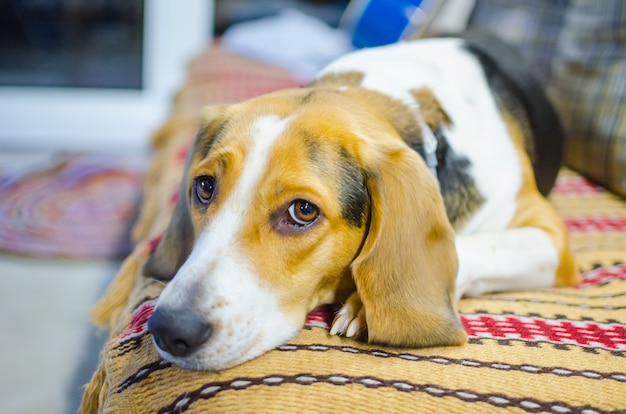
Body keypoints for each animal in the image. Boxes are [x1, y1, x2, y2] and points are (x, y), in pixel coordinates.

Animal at [141, 34, 576, 372]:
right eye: (204, 187)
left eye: (303, 211)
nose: (170, 329)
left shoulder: (551, 237)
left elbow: (466, 247)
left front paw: (368, 304)